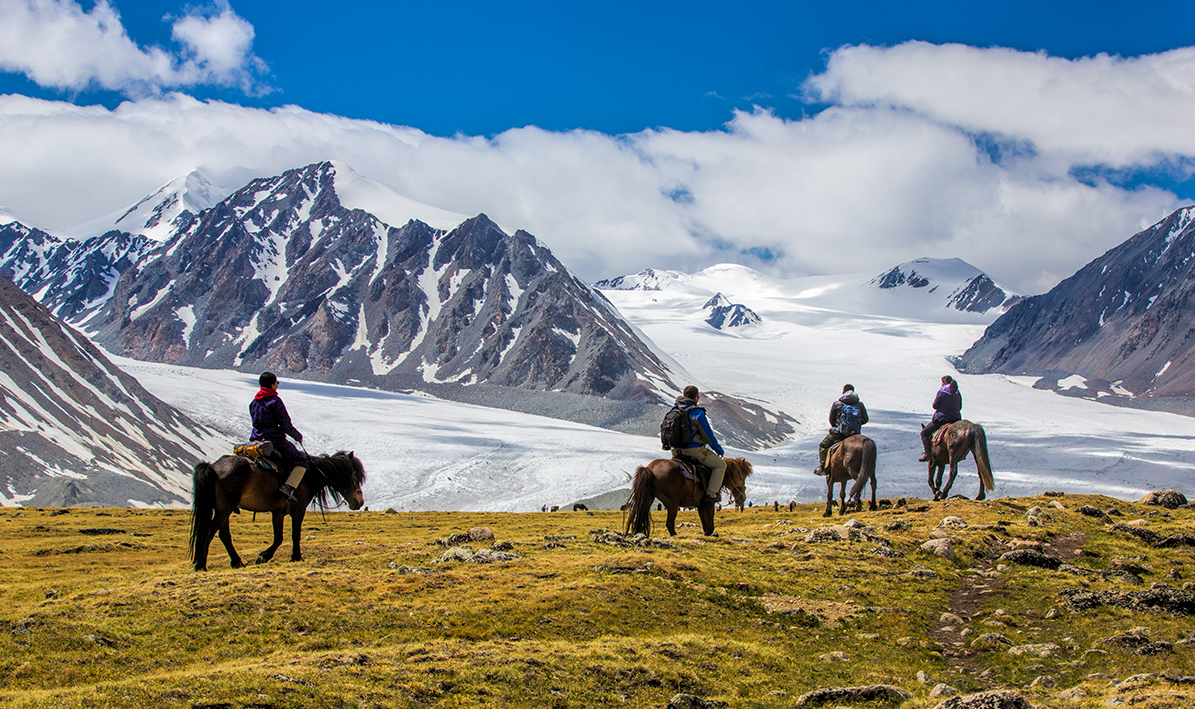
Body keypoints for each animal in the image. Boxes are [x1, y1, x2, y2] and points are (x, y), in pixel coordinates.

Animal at [188, 449, 365, 571]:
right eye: (355, 476)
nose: (359, 502)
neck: (310, 474)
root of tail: (213, 467)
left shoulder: (278, 512)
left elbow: (278, 537)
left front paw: (263, 556)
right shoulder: (298, 509)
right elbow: (295, 534)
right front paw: (296, 557)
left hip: (224, 509)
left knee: (223, 534)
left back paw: (237, 562)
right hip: (224, 509)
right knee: (209, 531)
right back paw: (200, 564)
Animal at [621, 456, 750, 533]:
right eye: (741, 475)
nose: (742, 498)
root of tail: (650, 468)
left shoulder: (700, 505)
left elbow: (705, 524)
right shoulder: (709, 503)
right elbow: (710, 526)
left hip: (648, 498)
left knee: (640, 516)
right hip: (672, 504)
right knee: (669, 524)